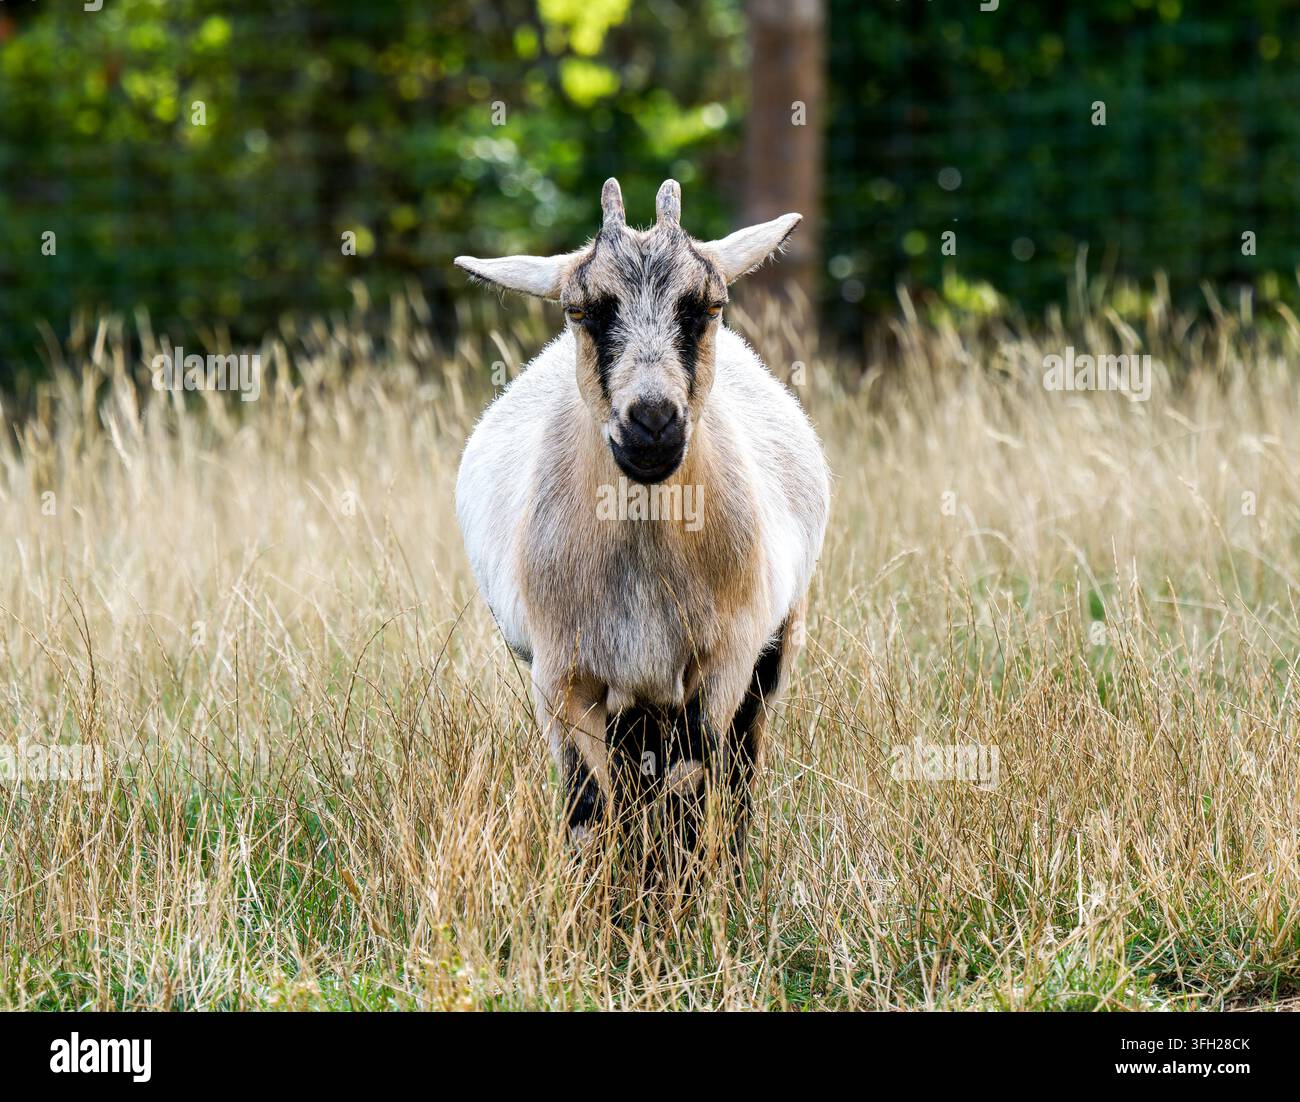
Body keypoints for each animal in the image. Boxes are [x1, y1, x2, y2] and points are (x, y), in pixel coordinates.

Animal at [455, 178, 829, 869]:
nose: (652, 424)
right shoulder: (564, 678)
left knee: (737, 772)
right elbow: (587, 809)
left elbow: (689, 795)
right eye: (582, 310)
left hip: (774, 643)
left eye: (708, 305)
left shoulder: (720, 666)